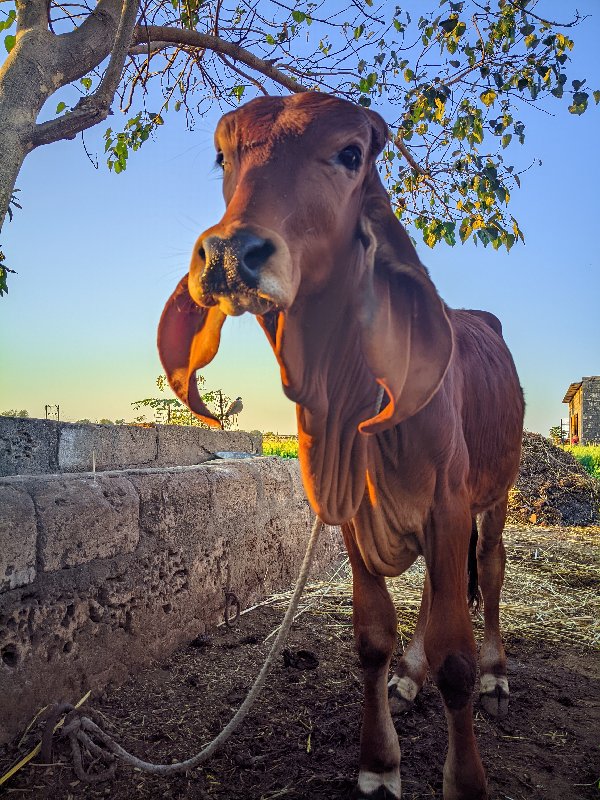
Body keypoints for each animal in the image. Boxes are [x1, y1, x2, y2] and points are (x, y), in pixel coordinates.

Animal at [158, 90, 524, 796]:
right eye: (224, 155)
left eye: (351, 154)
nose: (228, 253)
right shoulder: (354, 514)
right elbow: (373, 639)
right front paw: (379, 759)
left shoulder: (448, 506)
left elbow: (457, 661)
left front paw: (466, 778)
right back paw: (410, 675)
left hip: (498, 494)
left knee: (489, 571)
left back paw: (498, 670)